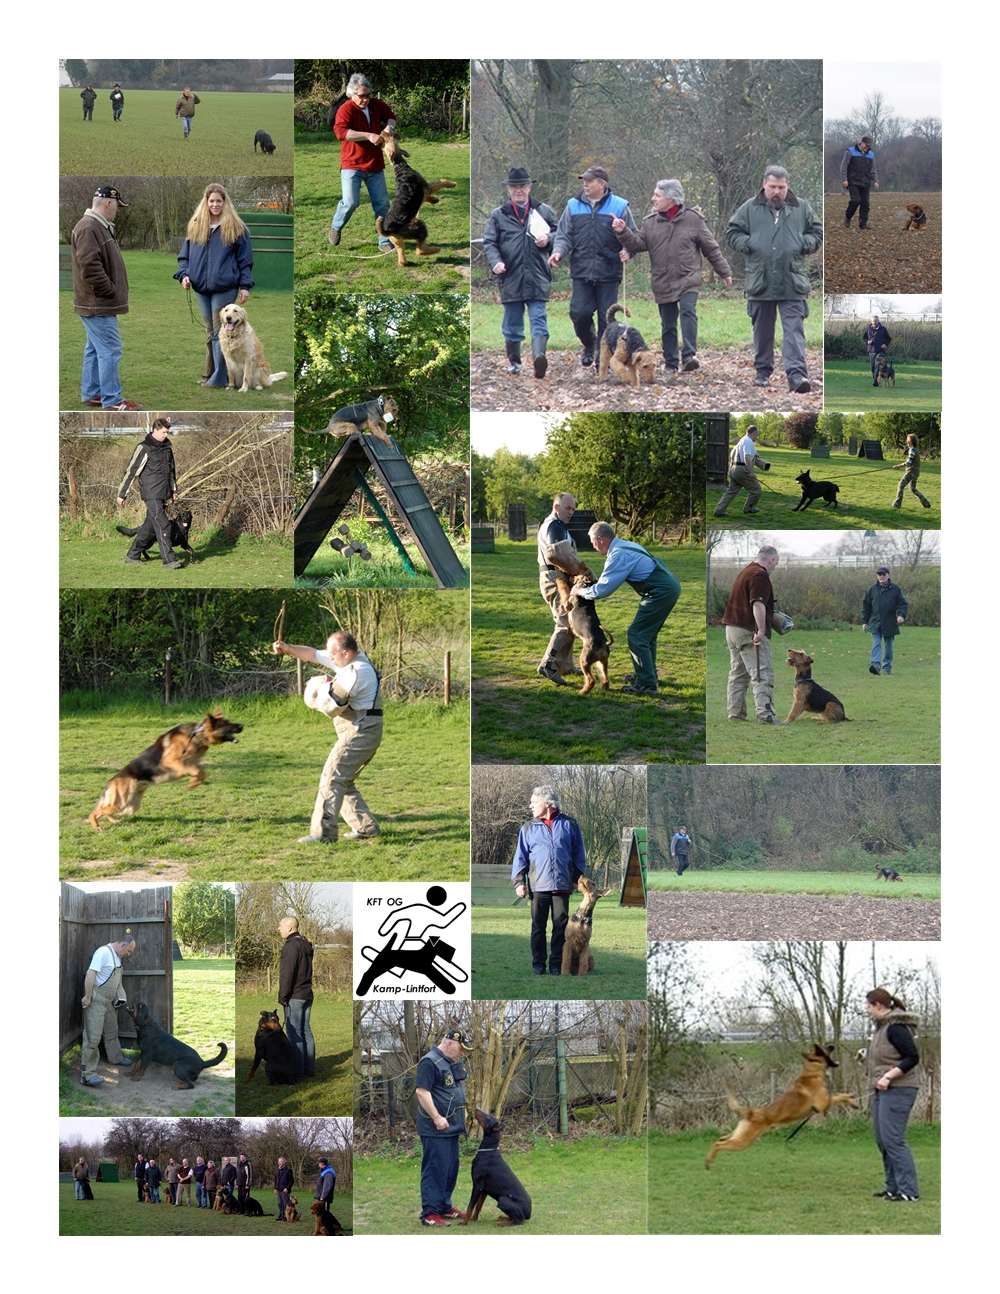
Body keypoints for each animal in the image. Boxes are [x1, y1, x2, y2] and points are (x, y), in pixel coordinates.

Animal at [89, 709, 245, 828]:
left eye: (229, 721)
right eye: (226, 724)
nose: (242, 725)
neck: (198, 734)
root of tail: (112, 780)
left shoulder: (192, 761)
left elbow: (201, 772)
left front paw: (194, 782)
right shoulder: (173, 761)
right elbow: (197, 771)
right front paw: (192, 784)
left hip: (130, 806)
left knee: (106, 811)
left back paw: (114, 820)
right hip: (122, 802)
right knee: (95, 813)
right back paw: (97, 827)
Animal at [375, 132, 455, 266]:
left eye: (385, 141)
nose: (382, 132)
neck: (399, 166)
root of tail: (389, 229)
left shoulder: (424, 193)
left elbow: (428, 198)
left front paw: (435, 200)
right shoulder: (427, 187)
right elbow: (441, 182)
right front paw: (452, 184)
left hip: (397, 242)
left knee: (402, 259)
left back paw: (406, 262)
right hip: (419, 226)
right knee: (420, 250)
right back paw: (436, 249)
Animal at [703, 1045, 858, 1169]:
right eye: (825, 1047)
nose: (832, 1045)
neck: (812, 1070)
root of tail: (752, 1113)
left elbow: (839, 1094)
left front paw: (852, 1099)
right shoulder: (822, 1104)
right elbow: (837, 1097)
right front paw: (852, 1100)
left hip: (738, 1135)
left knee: (720, 1139)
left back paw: (709, 1158)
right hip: (743, 1141)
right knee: (719, 1144)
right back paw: (708, 1162)